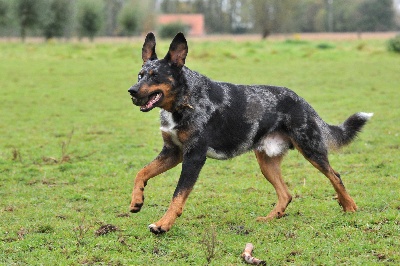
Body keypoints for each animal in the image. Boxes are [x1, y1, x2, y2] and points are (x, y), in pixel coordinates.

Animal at [127, 32, 372, 234]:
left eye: (155, 75)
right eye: (140, 75)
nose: (131, 91)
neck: (184, 101)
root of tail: (301, 101)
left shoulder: (194, 157)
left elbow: (177, 195)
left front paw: (163, 224)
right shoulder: (173, 152)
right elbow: (141, 172)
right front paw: (137, 200)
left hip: (310, 149)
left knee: (335, 175)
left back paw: (349, 206)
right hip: (266, 162)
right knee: (286, 194)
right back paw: (271, 218)